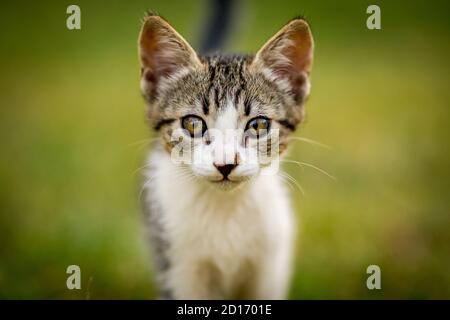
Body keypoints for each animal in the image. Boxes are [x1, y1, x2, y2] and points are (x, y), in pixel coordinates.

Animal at [138, 11, 312, 298]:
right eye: (192, 124)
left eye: (259, 125)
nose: (226, 164)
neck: (225, 207)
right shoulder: (179, 266)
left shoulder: (271, 263)